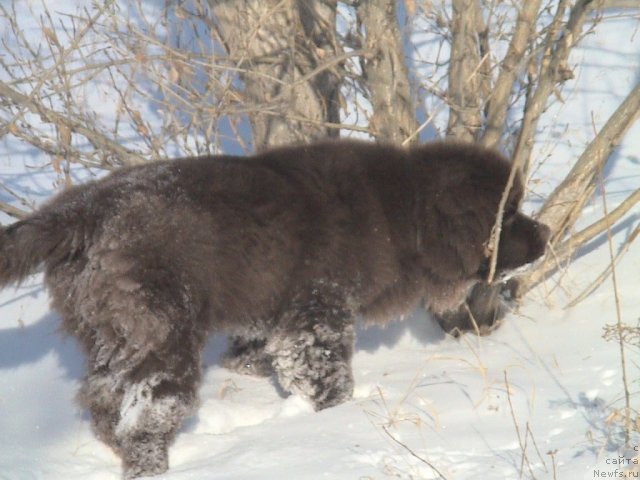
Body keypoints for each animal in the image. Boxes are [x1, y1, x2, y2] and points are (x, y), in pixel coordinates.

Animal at [0, 139, 552, 476]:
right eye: (507, 214)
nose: (547, 233)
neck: (400, 216)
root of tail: (82, 210)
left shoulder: (270, 312)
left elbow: (255, 352)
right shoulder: (317, 309)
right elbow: (323, 369)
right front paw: (333, 413)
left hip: (109, 332)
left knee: (102, 399)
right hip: (159, 331)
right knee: (146, 410)